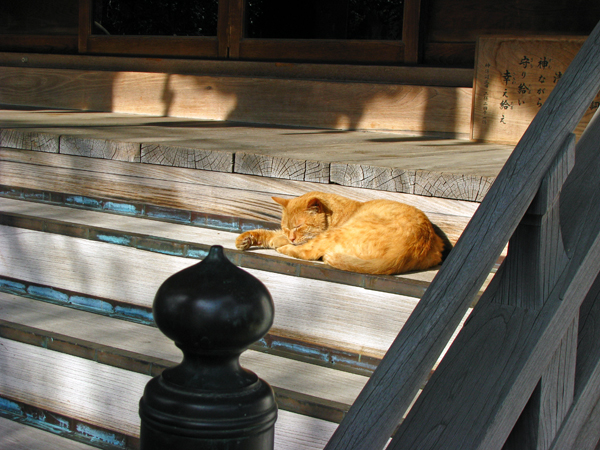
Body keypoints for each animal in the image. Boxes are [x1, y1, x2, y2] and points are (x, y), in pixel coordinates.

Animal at [234, 191, 446, 274]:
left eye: (299, 226)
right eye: (287, 227)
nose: (291, 237)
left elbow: (296, 245)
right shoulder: (284, 235)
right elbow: (271, 235)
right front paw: (246, 239)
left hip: (337, 234)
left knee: (308, 253)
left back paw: (286, 249)